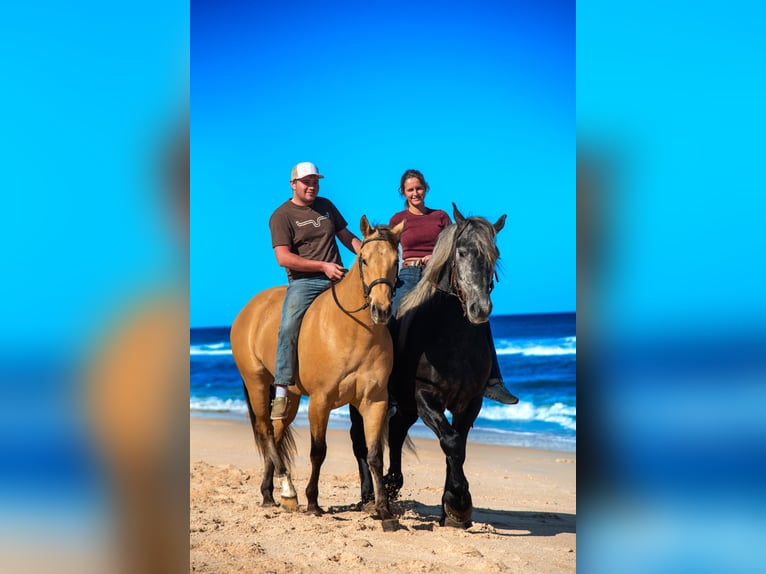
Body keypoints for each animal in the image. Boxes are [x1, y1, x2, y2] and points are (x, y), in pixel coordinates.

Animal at [230, 216, 405, 521]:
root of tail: (249, 309)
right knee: (266, 430)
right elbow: (318, 452)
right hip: (256, 383)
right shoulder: (320, 401)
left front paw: (383, 508)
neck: (354, 330)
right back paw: (288, 490)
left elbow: (374, 455)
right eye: (364, 260)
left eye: (396, 261)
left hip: (290, 395)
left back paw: (269, 494)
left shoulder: (375, 401)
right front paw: (312, 502)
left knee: (276, 432)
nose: (380, 310)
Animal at [350, 203, 506, 528]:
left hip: (406, 407)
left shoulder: (469, 403)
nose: (480, 309)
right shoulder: (425, 398)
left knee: (396, 431)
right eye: (461, 252)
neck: (451, 338)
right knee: (360, 440)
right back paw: (369, 496)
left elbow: (457, 446)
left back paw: (392, 483)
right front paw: (458, 503)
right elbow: (452, 443)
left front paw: (451, 508)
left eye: (494, 254)